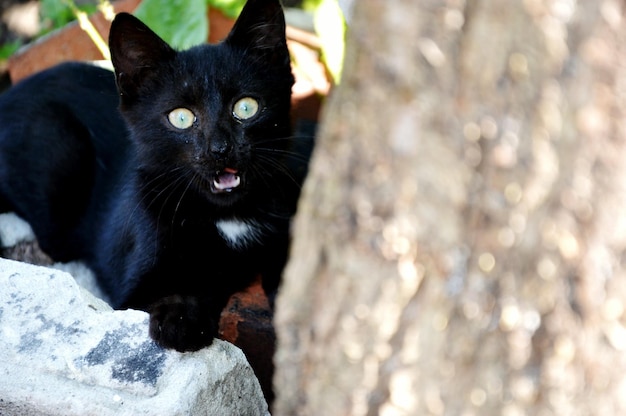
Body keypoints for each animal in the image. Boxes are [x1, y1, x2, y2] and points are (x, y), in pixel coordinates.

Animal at [0, 0, 308, 352]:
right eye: (181, 118)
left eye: (246, 108)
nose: (220, 149)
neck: (228, 217)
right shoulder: (130, 287)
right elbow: (177, 286)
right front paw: (180, 318)